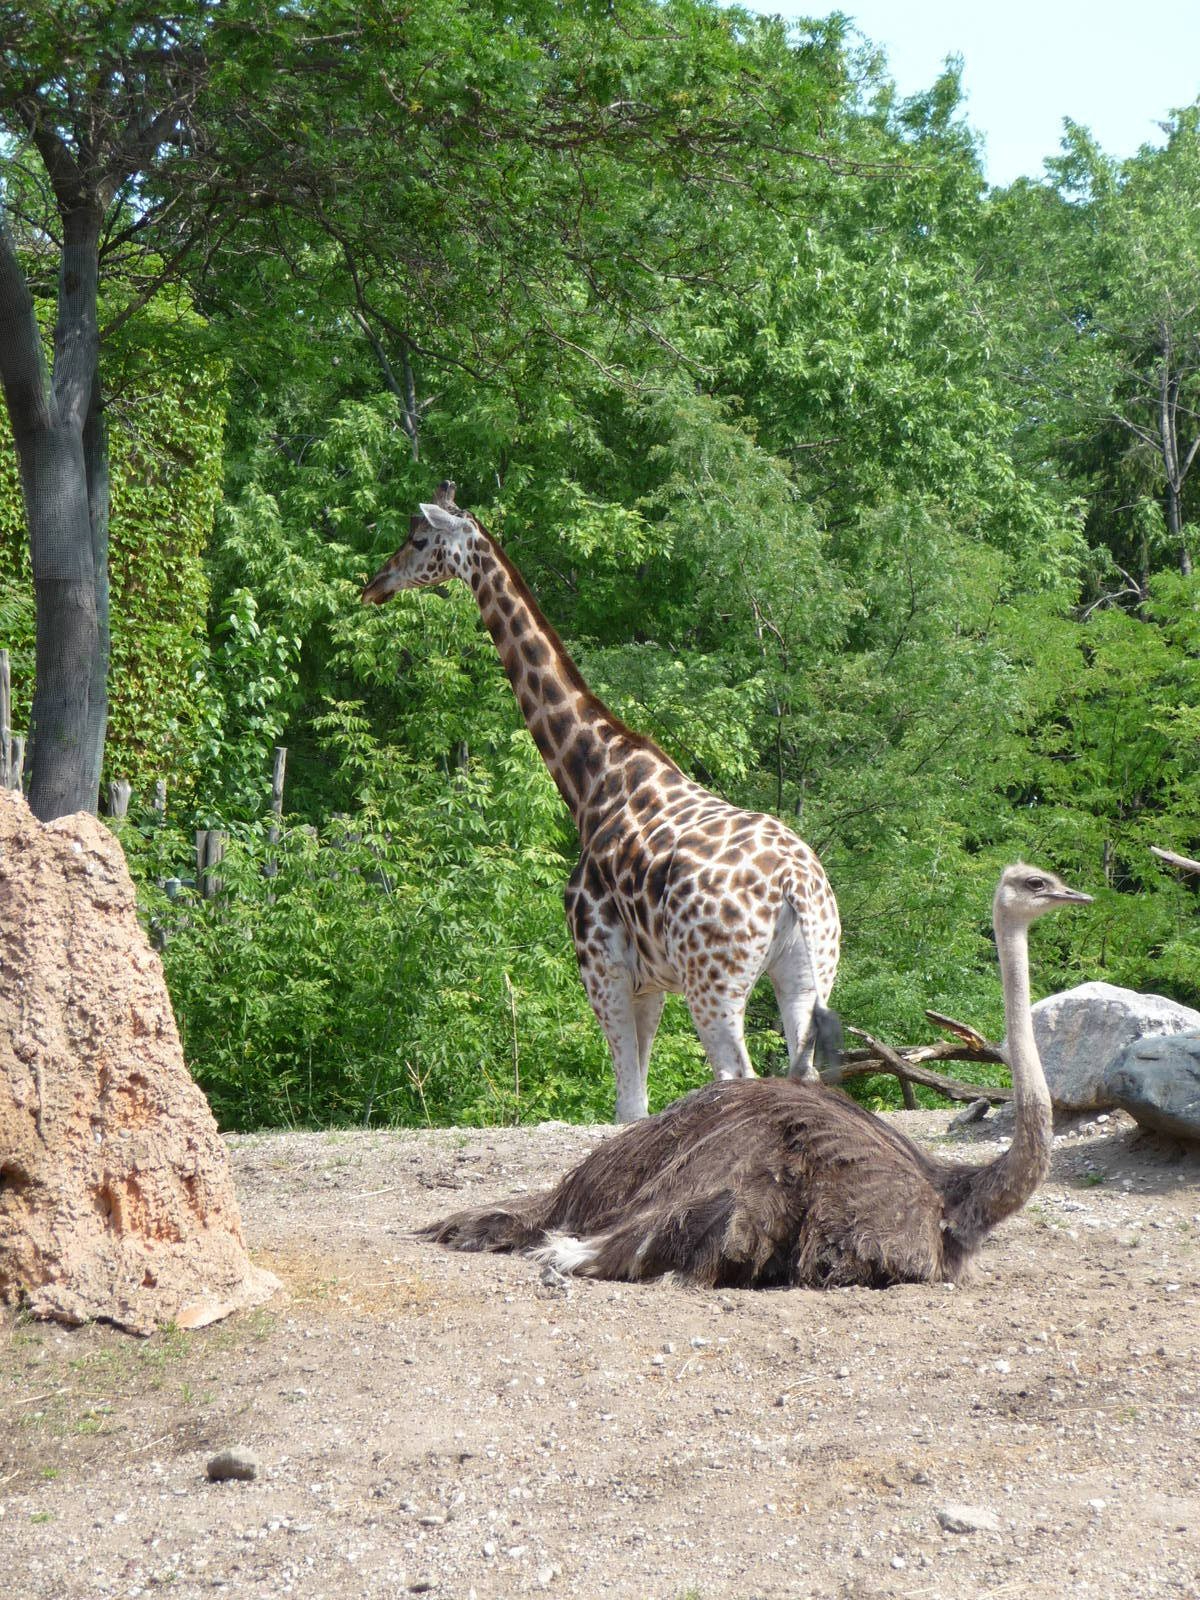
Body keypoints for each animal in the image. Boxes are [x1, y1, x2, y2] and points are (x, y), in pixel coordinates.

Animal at [362, 481, 841, 1122]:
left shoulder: (601, 964)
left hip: (714, 981)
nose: (375, 584)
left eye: (417, 540)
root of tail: (794, 885)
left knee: (736, 1074)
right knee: (803, 1073)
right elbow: (636, 1100)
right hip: (808, 971)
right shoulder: (650, 981)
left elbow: (628, 1107)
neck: (594, 783)